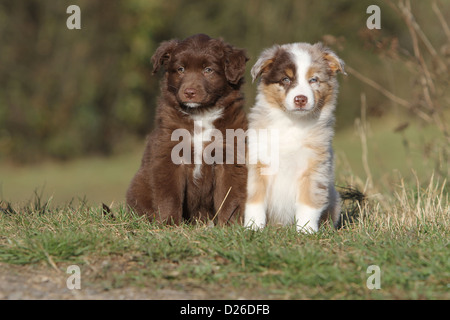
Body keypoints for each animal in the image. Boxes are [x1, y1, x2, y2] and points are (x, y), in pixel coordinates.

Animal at [125, 34, 250, 225]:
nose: (189, 92)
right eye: (181, 69)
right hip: (138, 186)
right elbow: (170, 195)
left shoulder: (230, 153)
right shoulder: (168, 153)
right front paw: (169, 223)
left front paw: (229, 225)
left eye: (208, 70)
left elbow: (229, 196)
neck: (201, 115)